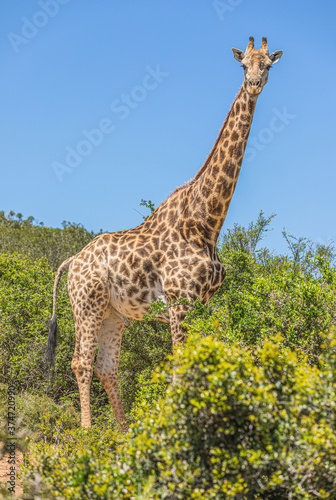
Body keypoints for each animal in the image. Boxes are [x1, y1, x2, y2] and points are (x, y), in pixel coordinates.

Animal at [46, 37, 284, 428]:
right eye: (242, 64)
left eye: (268, 65)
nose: (253, 84)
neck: (207, 223)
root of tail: (71, 262)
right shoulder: (179, 301)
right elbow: (178, 368)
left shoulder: (203, 302)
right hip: (86, 304)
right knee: (81, 362)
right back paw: (87, 432)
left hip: (114, 314)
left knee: (106, 367)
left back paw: (122, 433)